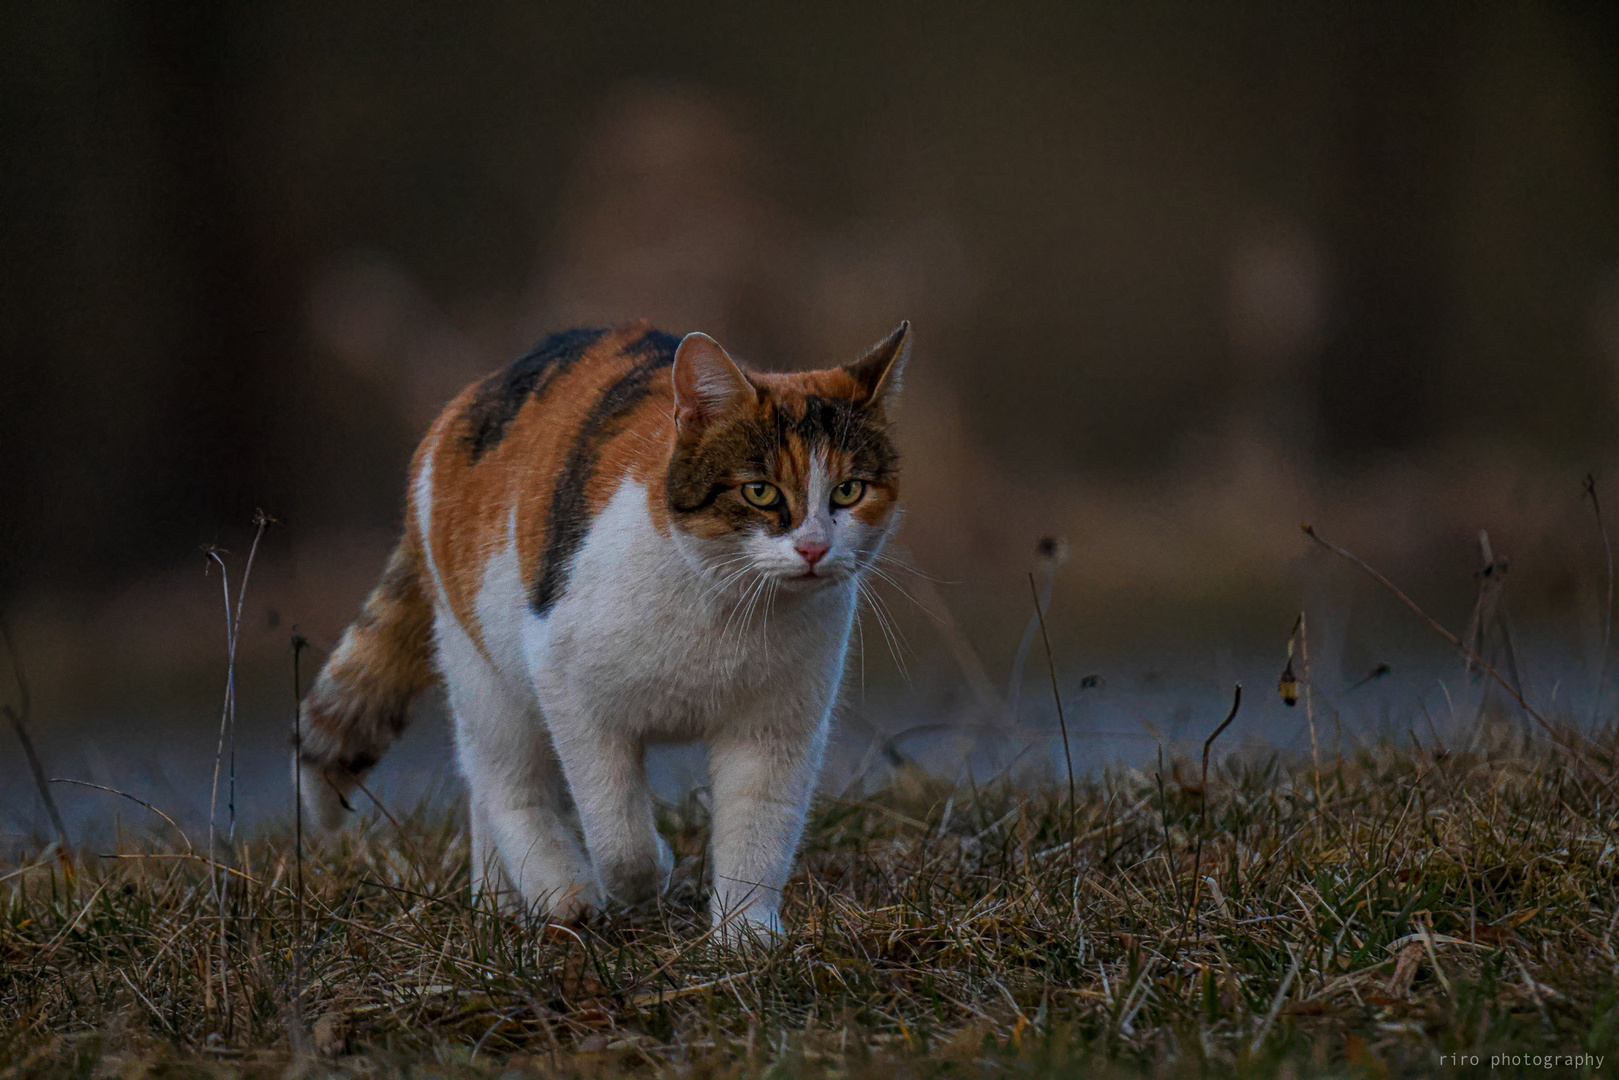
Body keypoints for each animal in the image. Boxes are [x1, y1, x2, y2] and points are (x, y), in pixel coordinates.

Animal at [301, 317, 913, 939]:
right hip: (481, 665)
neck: (730, 609)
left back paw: (497, 903)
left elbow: (758, 832)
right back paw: (558, 891)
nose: (814, 547)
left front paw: (744, 937)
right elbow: (619, 835)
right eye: (760, 491)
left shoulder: (775, 729)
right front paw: (648, 875)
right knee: (501, 780)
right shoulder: (566, 685)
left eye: (849, 490)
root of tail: (470, 396)